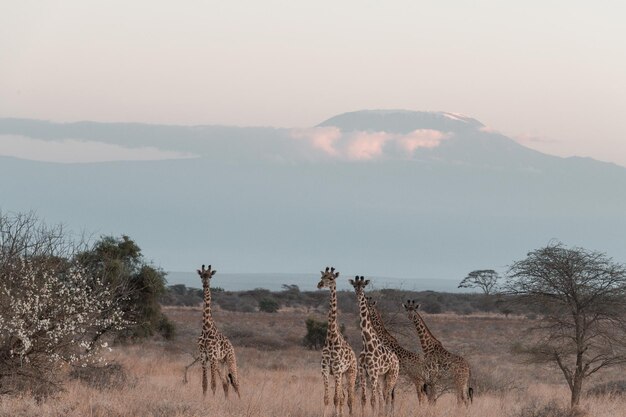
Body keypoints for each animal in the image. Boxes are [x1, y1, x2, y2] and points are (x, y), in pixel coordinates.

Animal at [196, 264, 240, 396]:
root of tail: (231, 345)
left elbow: (213, 384)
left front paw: (213, 400)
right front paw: (204, 400)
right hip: (221, 363)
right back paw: (227, 400)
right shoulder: (203, 357)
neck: (206, 328)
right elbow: (204, 384)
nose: (205, 284)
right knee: (226, 382)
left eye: (210, 276)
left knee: (236, 382)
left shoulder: (213, 358)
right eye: (201, 275)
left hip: (230, 359)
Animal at [316, 266, 356, 416]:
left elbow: (336, 398)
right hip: (342, 374)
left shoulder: (338, 369)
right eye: (322, 277)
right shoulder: (326, 369)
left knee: (350, 398)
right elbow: (327, 398)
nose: (320, 284)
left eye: (331, 278)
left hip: (350, 373)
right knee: (344, 397)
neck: (331, 337)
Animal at [348, 274, 398, 414]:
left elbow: (373, 400)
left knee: (388, 397)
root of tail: (397, 360)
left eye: (363, 286)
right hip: (382, 377)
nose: (359, 293)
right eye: (355, 285)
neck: (366, 343)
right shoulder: (362, 371)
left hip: (391, 376)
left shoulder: (373, 372)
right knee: (384, 397)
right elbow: (364, 399)